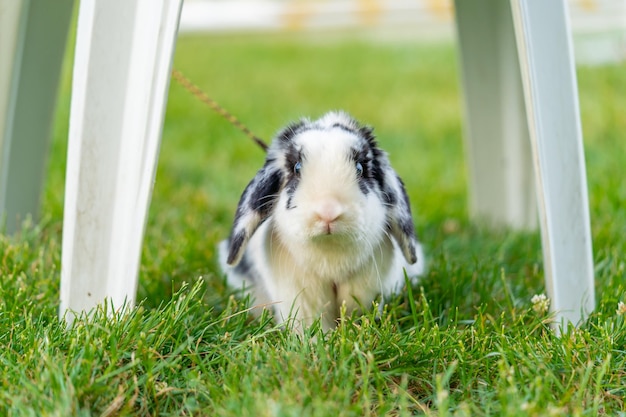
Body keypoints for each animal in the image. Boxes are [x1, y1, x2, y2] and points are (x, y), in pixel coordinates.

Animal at [218, 110, 424, 332]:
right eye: (297, 168)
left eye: (360, 168)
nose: (328, 212)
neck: (330, 253)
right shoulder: (300, 293)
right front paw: (314, 339)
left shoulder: (364, 288)